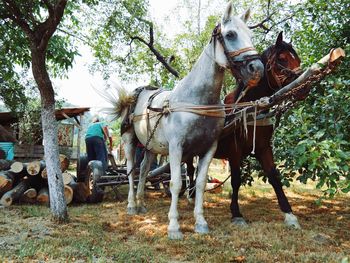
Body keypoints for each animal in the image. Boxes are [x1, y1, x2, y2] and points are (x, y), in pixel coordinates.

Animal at [111, 2, 262, 241]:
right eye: (230, 34)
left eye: (251, 35)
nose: (257, 69)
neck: (197, 101)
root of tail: (136, 94)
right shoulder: (176, 148)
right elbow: (176, 184)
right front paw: (174, 226)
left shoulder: (208, 149)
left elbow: (199, 184)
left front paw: (200, 222)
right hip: (129, 141)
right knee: (132, 171)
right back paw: (132, 205)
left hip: (151, 147)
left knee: (143, 170)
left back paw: (142, 203)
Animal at [187, 31, 302, 229]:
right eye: (282, 59)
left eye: (298, 59)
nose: (302, 87)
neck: (249, 108)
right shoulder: (235, 151)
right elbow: (236, 180)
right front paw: (236, 213)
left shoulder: (263, 148)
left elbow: (274, 177)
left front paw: (289, 214)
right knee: (188, 169)